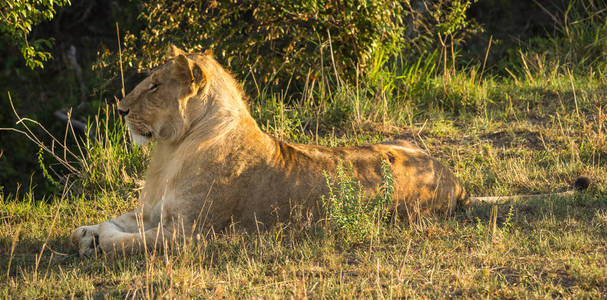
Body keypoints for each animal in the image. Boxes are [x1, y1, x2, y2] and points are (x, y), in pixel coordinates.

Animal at [70, 45, 588, 256]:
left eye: (155, 85)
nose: (119, 110)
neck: (173, 149)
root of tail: (456, 183)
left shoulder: (193, 233)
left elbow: (133, 242)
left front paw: (98, 243)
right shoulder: (151, 212)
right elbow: (117, 220)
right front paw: (86, 231)